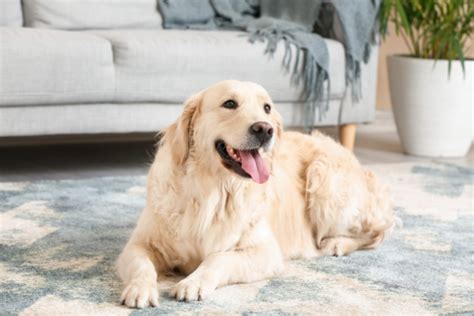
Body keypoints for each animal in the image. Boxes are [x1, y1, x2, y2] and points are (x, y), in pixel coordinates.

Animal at [118, 79, 396, 308]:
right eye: (229, 104)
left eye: (267, 108)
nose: (264, 129)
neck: (214, 190)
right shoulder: (139, 244)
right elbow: (142, 265)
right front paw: (140, 289)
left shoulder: (266, 252)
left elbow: (219, 259)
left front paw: (192, 283)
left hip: (324, 180)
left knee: (374, 233)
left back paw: (337, 243)